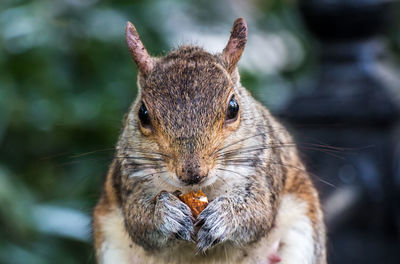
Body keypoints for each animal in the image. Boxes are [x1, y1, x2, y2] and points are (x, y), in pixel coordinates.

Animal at [93, 17, 324, 262]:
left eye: (233, 107)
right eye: (143, 114)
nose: (193, 174)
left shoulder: (263, 169)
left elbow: (259, 212)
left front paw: (225, 216)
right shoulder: (131, 178)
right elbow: (137, 219)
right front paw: (165, 212)